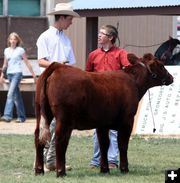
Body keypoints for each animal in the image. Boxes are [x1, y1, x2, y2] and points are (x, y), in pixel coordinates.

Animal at [33, 52, 173, 176]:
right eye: (161, 65)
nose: (171, 77)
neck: (133, 81)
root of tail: (58, 66)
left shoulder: (102, 123)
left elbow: (104, 145)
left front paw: (104, 169)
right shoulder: (127, 120)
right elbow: (122, 144)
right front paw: (124, 169)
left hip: (41, 113)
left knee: (38, 137)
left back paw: (39, 170)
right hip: (64, 119)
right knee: (60, 140)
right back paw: (61, 172)